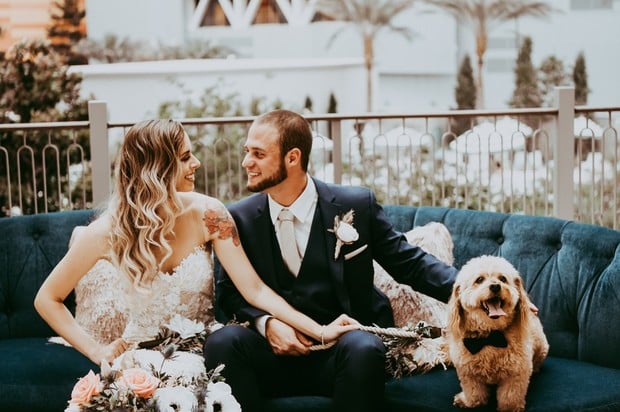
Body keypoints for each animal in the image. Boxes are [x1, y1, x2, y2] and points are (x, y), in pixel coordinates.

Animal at [446, 256, 548, 410]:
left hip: (542, 348)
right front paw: (468, 402)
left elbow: (509, 398)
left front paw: (511, 408)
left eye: (502, 279)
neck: (490, 336)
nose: (495, 286)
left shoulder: (516, 373)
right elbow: (474, 393)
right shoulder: (468, 373)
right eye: (479, 280)